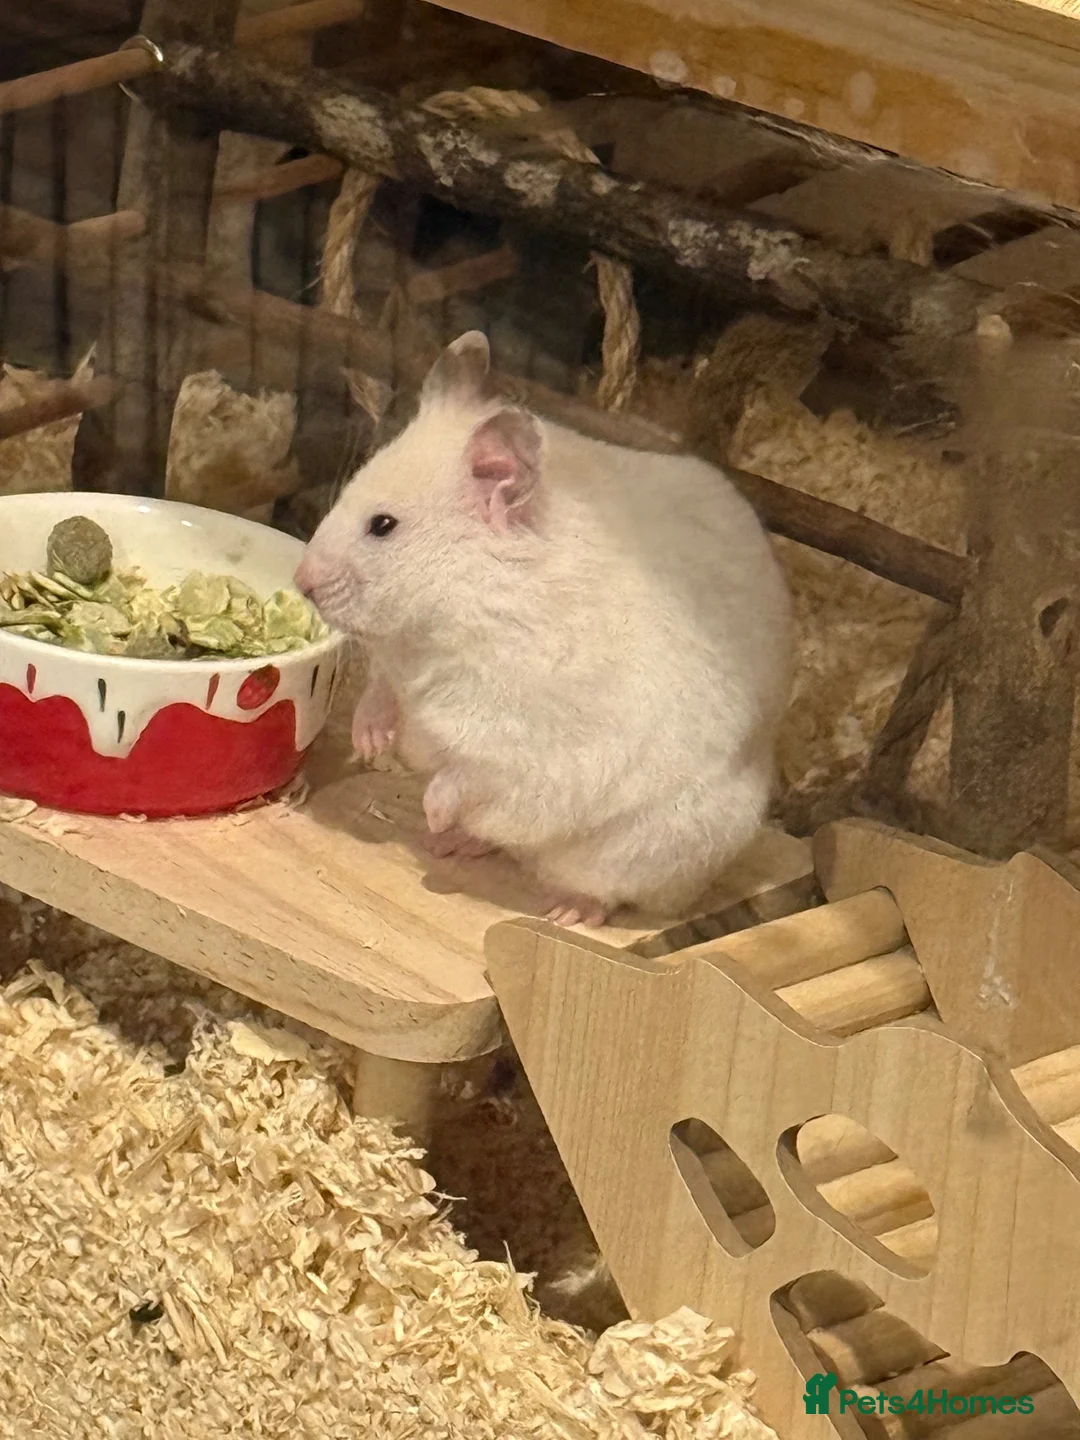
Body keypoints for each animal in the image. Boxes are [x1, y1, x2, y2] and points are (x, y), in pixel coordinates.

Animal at [295, 331, 793, 927]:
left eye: (383, 526)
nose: (300, 581)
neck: (448, 612)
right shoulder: (398, 672)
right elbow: (381, 693)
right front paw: (369, 744)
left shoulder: (525, 739)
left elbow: (470, 771)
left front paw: (432, 810)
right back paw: (457, 844)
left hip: (645, 851)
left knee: (600, 888)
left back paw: (563, 910)